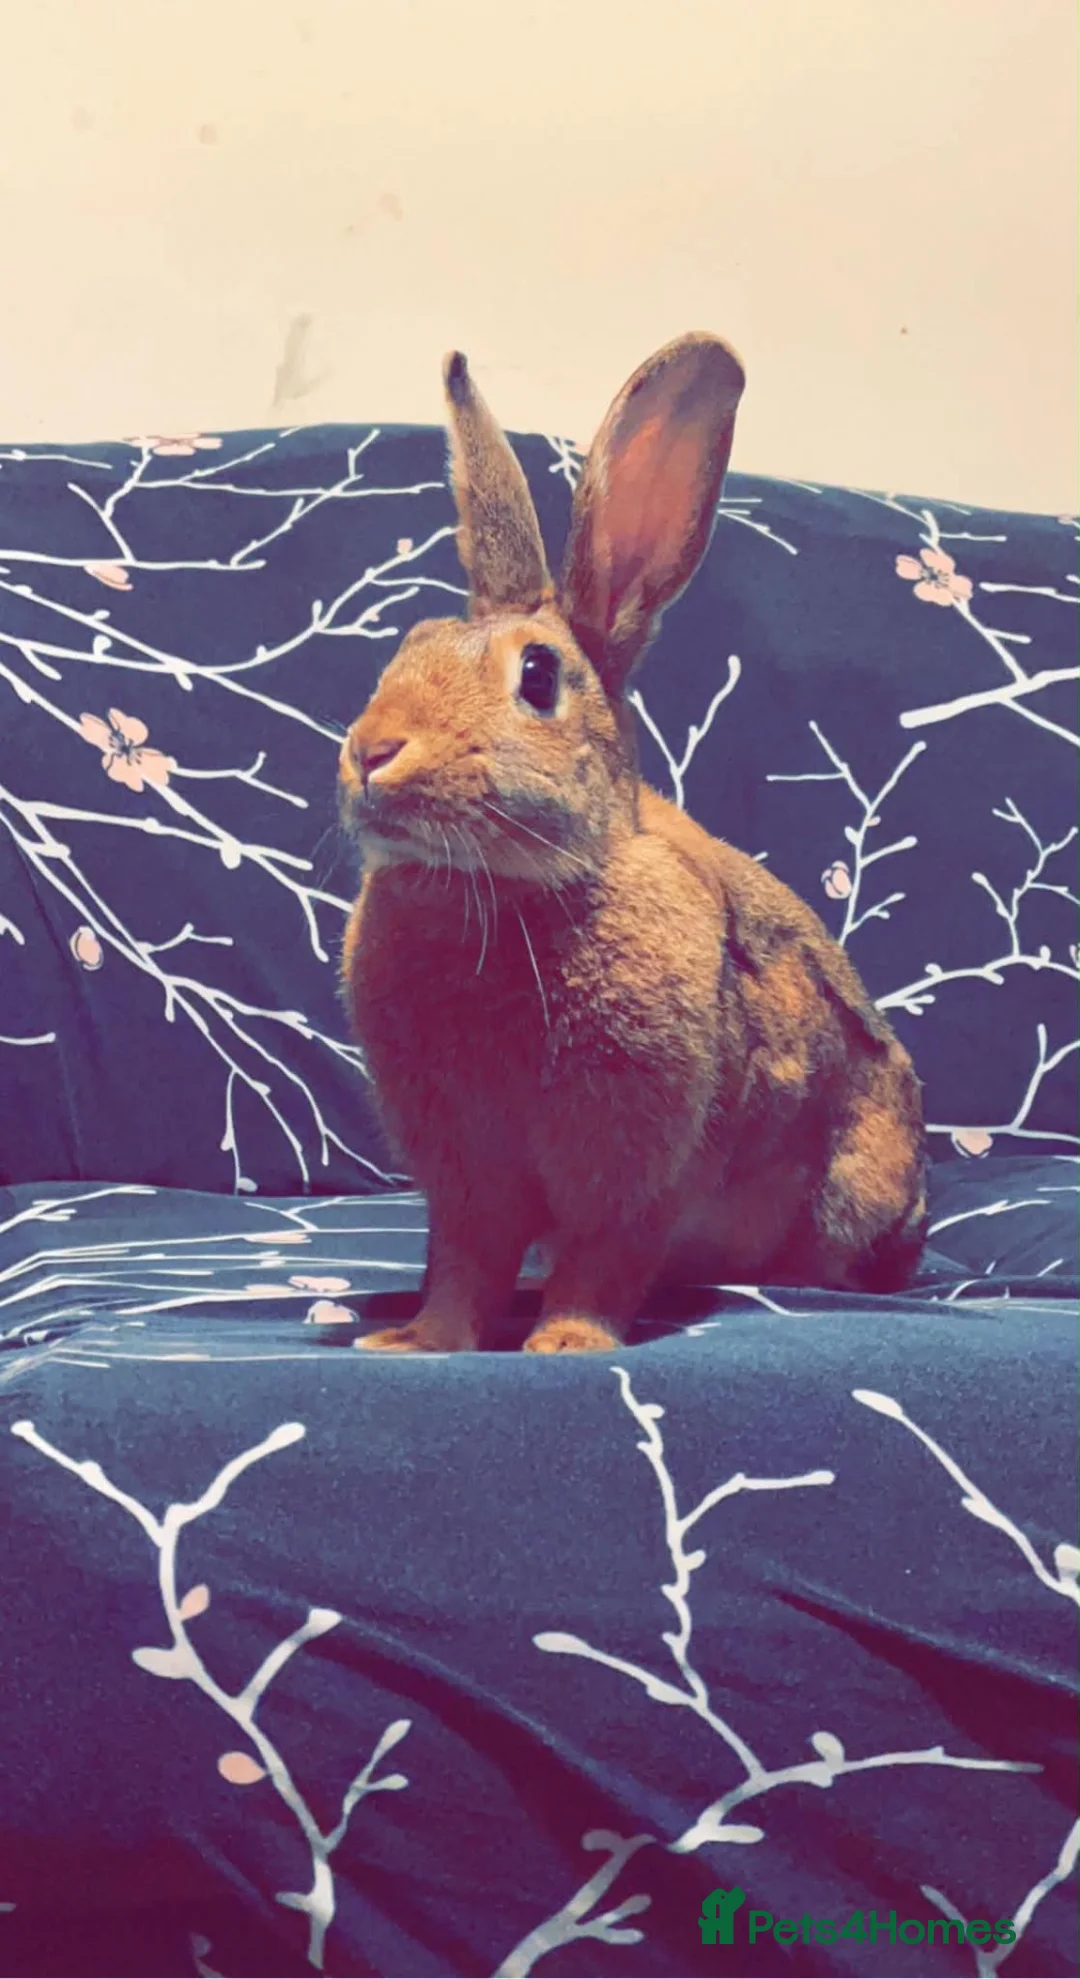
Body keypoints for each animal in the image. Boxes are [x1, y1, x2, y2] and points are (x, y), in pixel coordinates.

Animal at [339, 334, 927, 1354]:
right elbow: (462, 1266)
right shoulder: (465, 1181)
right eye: (409, 644)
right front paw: (417, 1341)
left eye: (538, 677)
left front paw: (566, 1343)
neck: (514, 886)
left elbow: (600, 1260)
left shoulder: (641, 1168)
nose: (373, 751)